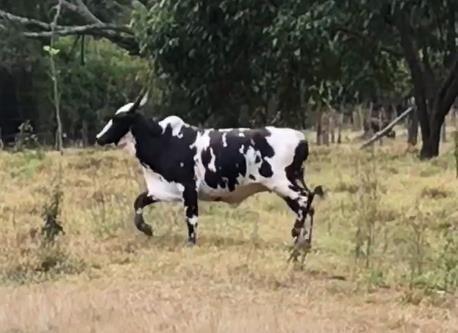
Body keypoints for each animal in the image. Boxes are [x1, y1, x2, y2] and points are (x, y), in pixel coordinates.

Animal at [95, 94, 320, 245]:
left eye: (118, 118)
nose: (99, 137)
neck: (164, 140)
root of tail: (301, 139)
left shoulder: (188, 188)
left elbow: (191, 218)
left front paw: (190, 243)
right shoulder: (162, 189)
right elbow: (139, 201)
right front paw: (146, 228)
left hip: (282, 184)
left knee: (305, 200)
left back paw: (296, 234)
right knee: (308, 204)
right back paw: (303, 241)